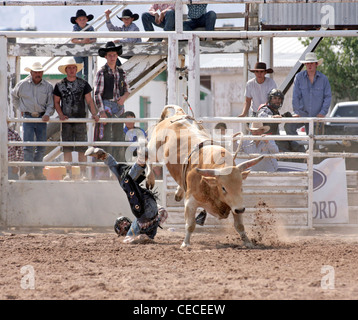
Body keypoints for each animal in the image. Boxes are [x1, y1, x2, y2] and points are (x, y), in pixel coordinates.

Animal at [146, 105, 262, 248]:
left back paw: (178, 192)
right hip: (154, 148)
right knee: (147, 158)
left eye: (241, 187)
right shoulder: (190, 202)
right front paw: (185, 244)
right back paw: (150, 178)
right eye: (223, 188)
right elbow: (190, 225)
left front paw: (248, 242)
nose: (240, 210)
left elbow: (239, 225)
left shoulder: (236, 203)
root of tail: (178, 115)